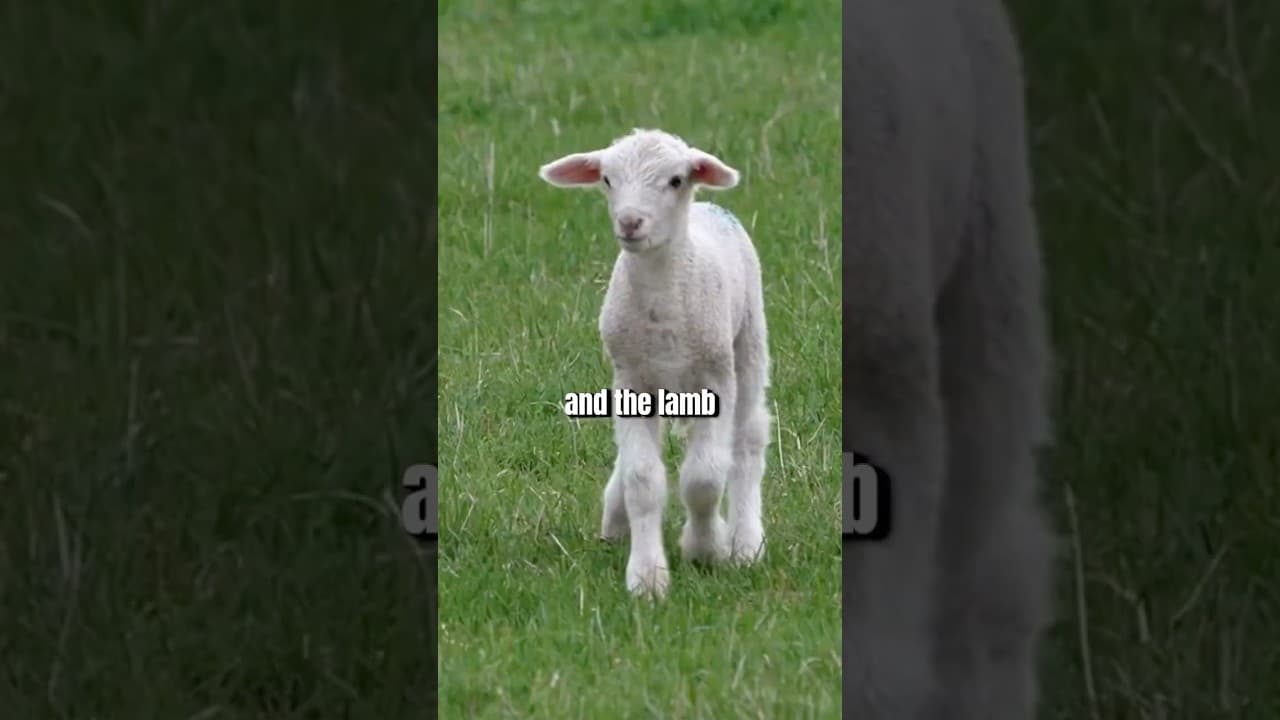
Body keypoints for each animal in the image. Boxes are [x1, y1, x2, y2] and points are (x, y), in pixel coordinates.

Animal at [538, 129, 770, 599]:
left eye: (676, 180)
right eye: (607, 179)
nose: (630, 222)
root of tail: (709, 207)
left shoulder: (716, 380)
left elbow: (704, 477)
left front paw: (705, 547)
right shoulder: (632, 381)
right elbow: (642, 479)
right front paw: (646, 576)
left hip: (748, 341)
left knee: (749, 439)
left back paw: (745, 541)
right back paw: (616, 519)